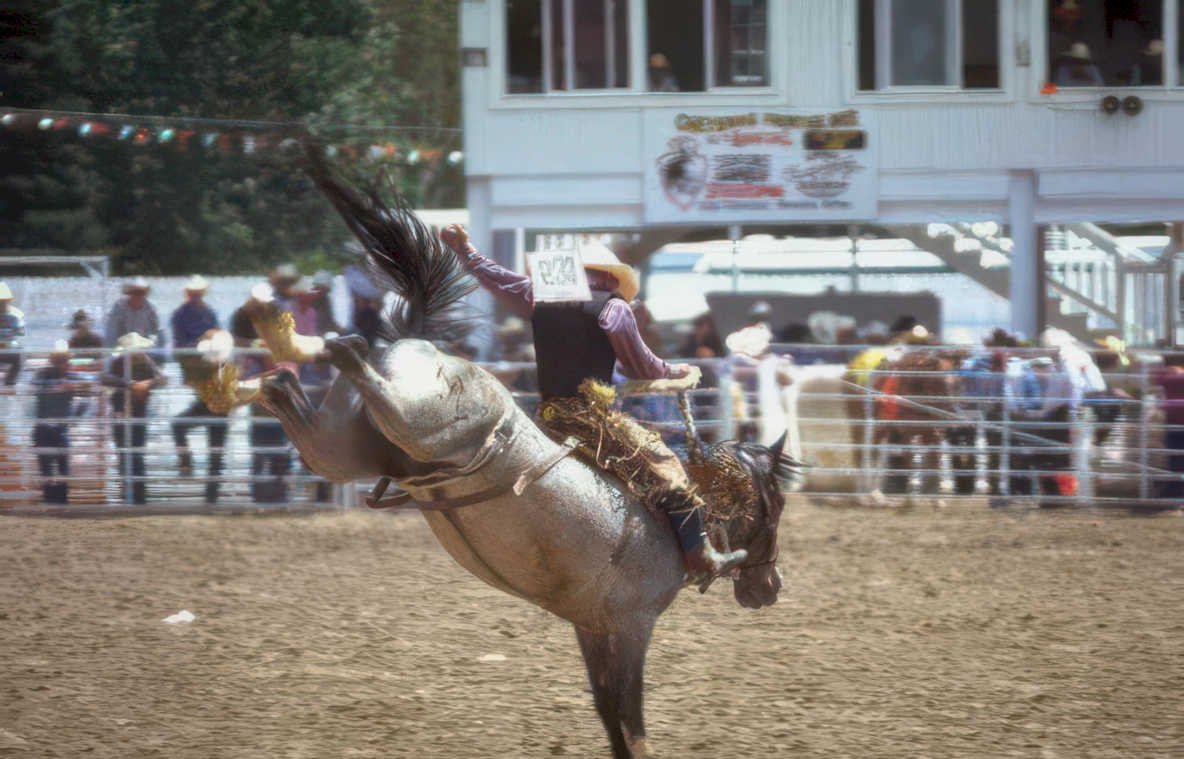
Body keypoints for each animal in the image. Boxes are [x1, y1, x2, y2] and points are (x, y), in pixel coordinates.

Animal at [237, 155, 793, 758]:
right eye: (777, 505)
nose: (770, 588)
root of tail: (409, 340)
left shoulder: (591, 626)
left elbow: (609, 717)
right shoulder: (631, 623)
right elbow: (631, 720)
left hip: (346, 447)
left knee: (296, 402)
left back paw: (268, 365)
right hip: (424, 424)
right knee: (357, 363)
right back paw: (326, 346)